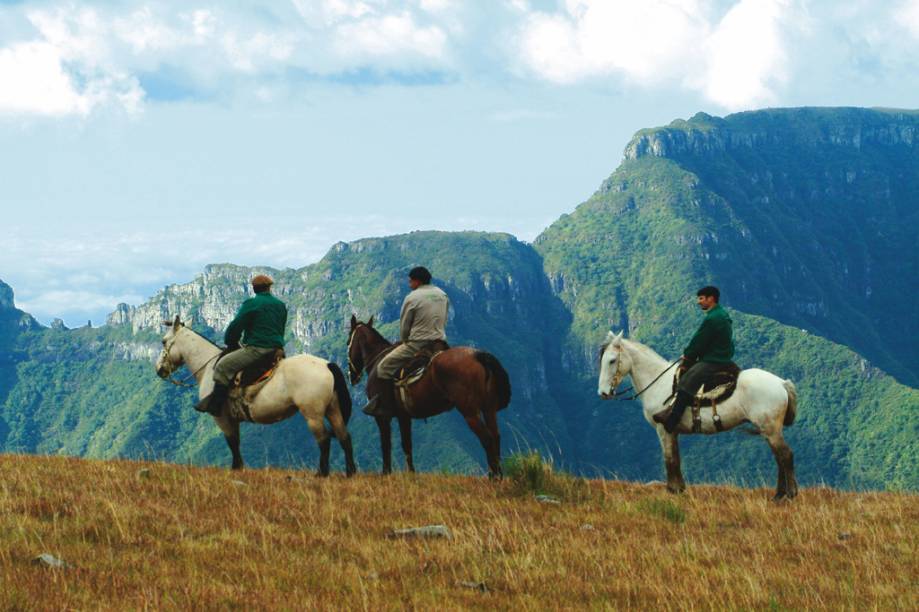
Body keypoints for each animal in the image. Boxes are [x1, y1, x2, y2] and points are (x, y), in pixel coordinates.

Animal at [155, 318, 356, 476]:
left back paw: (322, 473)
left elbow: (232, 442)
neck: (209, 367)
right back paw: (350, 472)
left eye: (164, 341)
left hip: (313, 414)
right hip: (333, 409)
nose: (159, 369)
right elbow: (235, 442)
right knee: (344, 437)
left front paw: (236, 468)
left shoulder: (222, 418)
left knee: (324, 439)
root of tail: (327, 365)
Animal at [348, 316, 512, 478]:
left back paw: (492, 476)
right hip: (488, 408)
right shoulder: (404, 416)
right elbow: (407, 445)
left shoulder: (382, 416)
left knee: (487, 438)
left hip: (469, 412)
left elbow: (387, 444)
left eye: (348, 340)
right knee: (496, 436)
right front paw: (411, 474)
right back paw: (499, 475)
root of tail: (478, 355)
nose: (352, 376)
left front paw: (386, 473)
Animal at [596, 332, 796, 500]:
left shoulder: (663, 429)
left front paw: (673, 490)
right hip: (768, 430)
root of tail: (781, 383)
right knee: (779, 457)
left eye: (612, 360)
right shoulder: (673, 431)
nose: (603, 393)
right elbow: (676, 458)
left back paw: (789, 494)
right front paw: (679, 489)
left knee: (785, 455)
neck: (658, 383)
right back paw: (779, 493)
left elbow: (669, 459)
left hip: (770, 429)